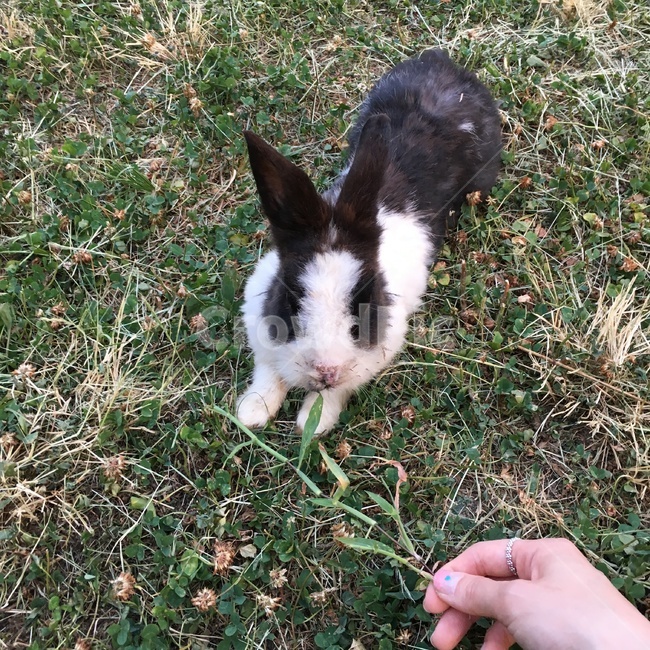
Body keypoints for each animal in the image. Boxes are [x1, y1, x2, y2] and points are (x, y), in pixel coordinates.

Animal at [236, 49, 501, 434]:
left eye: (364, 302)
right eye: (291, 298)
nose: (327, 370)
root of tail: (444, 63)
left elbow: (335, 394)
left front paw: (313, 423)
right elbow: (267, 372)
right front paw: (253, 412)